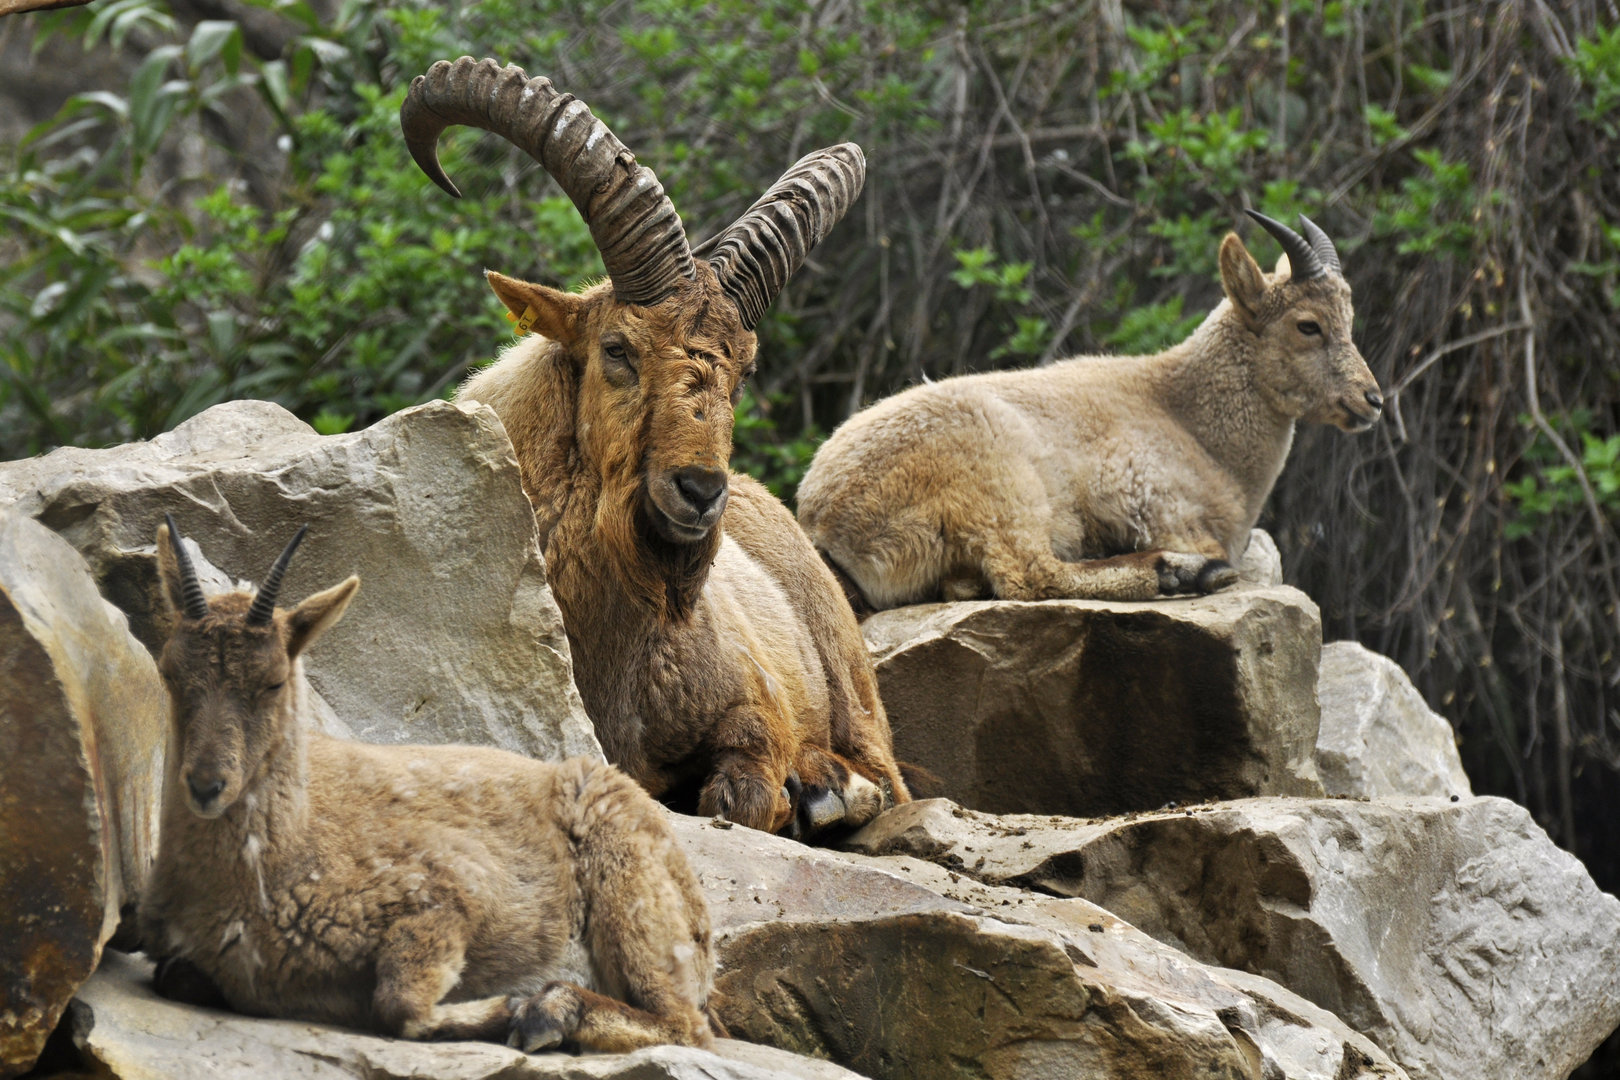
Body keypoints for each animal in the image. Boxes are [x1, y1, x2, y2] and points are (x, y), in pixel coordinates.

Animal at [138, 517, 718, 1053]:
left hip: (630, 891)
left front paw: (510, 1008)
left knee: (685, 1024)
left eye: (274, 680)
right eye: (168, 672)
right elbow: (172, 975)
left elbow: (399, 1006)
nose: (207, 784)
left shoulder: (447, 888)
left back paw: (549, 1012)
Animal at [398, 57, 911, 837]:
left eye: (744, 369)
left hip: (849, 679)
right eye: (618, 348)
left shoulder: (755, 700)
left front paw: (799, 791)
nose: (698, 491)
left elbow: (745, 787)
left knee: (887, 776)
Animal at [796, 212, 1383, 609]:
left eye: (1350, 318)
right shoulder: (1150, 498)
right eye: (1308, 325)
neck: (1192, 423)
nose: (1372, 399)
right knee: (1029, 575)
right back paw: (1180, 573)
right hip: (997, 484)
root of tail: (824, 517)